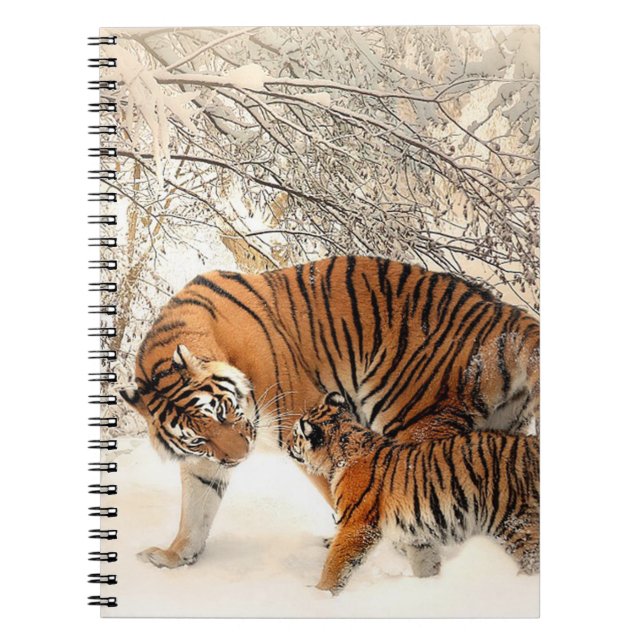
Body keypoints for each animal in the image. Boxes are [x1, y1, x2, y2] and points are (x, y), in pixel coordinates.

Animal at [120, 255, 539, 568]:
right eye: (197, 438)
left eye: (223, 411)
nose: (240, 458)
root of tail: (506, 315)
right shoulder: (205, 460)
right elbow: (196, 508)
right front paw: (175, 556)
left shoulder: (304, 425)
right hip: (501, 433)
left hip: (412, 417)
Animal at [289, 392, 540, 595]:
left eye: (295, 434)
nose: (287, 444)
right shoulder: (417, 535)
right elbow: (425, 563)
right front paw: (428, 586)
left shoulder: (356, 525)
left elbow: (336, 564)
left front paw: (319, 594)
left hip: (517, 524)